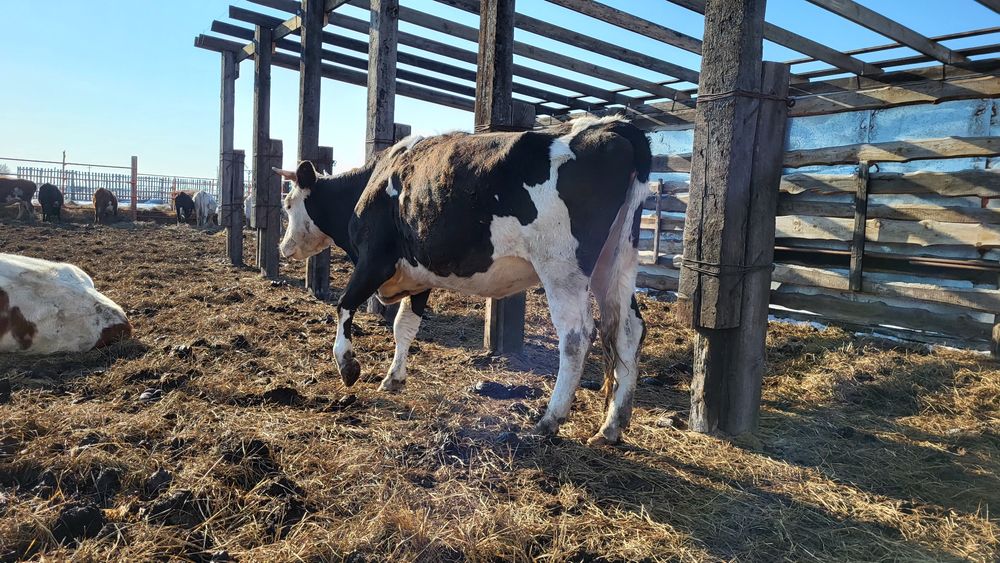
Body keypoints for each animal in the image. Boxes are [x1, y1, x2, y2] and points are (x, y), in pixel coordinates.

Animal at [275, 116, 651, 445]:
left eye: (288, 204)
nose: (283, 247)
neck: (372, 184)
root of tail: (611, 125)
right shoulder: (419, 275)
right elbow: (404, 327)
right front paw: (393, 378)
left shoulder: (374, 261)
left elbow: (344, 306)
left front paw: (348, 367)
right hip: (615, 261)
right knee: (628, 330)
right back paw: (612, 426)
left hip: (561, 267)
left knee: (577, 336)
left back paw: (549, 420)